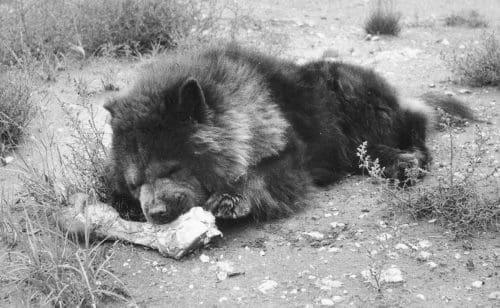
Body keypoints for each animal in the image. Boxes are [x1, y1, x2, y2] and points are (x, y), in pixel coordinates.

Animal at [104, 43, 472, 224]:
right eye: (135, 184)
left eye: (172, 169)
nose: (155, 214)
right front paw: (122, 207)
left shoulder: (290, 151)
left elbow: (262, 172)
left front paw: (231, 198)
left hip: (350, 88)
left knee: (413, 129)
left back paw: (408, 163)